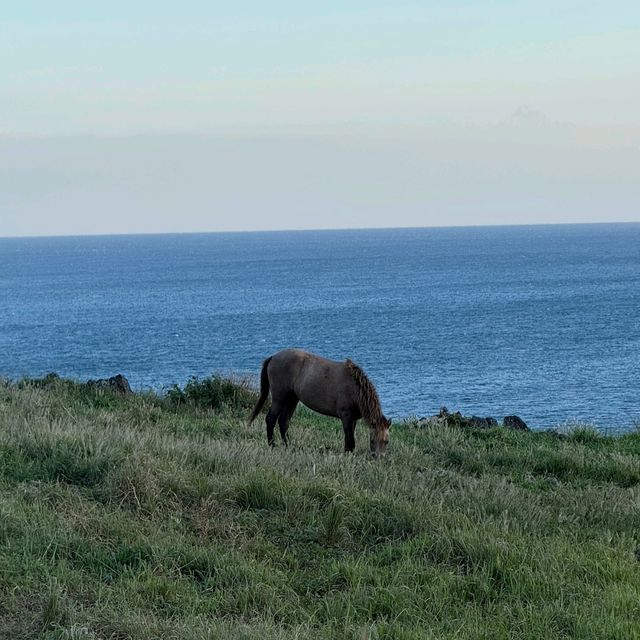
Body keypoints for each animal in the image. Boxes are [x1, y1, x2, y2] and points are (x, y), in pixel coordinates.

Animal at [249, 348, 390, 458]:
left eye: (386, 441)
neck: (354, 388)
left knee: (284, 422)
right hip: (279, 399)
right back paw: (272, 445)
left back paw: (288, 446)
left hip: (292, 400)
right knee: (270, 419)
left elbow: (350, 438)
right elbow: (349, 438)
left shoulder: (353, 419)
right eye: (372, 440)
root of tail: (273, 357)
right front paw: (347, 455)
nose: (378, 458)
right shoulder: (346, 417)